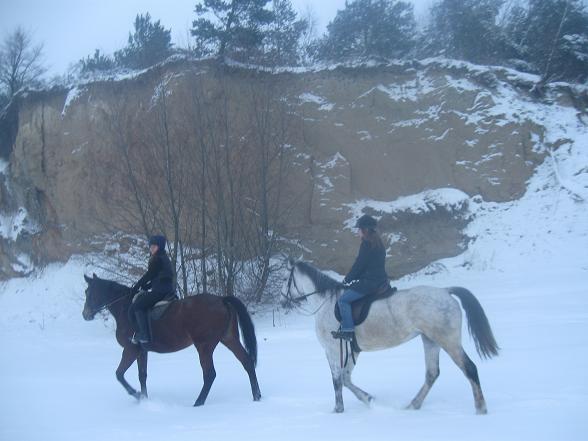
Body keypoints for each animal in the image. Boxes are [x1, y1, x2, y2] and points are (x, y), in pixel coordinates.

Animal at [81, 276, 260, 406]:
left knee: (210, 374)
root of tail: (222, 300)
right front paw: (144, 399)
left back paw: (198, 403)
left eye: (89, 292)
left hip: (204, 346)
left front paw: (137, 395)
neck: (125, 309)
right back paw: (257, 396)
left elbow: (119, 374)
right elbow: (142, 375)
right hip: (229, 338)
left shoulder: (130, 349)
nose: (85, 314)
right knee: (247, 362)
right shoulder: (142, 351)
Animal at [282, 258, 498, 412]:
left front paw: (338, 409)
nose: (283, 301)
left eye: (286, 280)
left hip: (448, 340)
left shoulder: (333, 349)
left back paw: (481, 408)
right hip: (430, 340)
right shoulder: (352, 349)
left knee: (469, 368)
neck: (326, 303)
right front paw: (368, 398)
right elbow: (345, 378)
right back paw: (413, 405)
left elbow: (337, 380)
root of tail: (446, 291)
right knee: (432, 373)